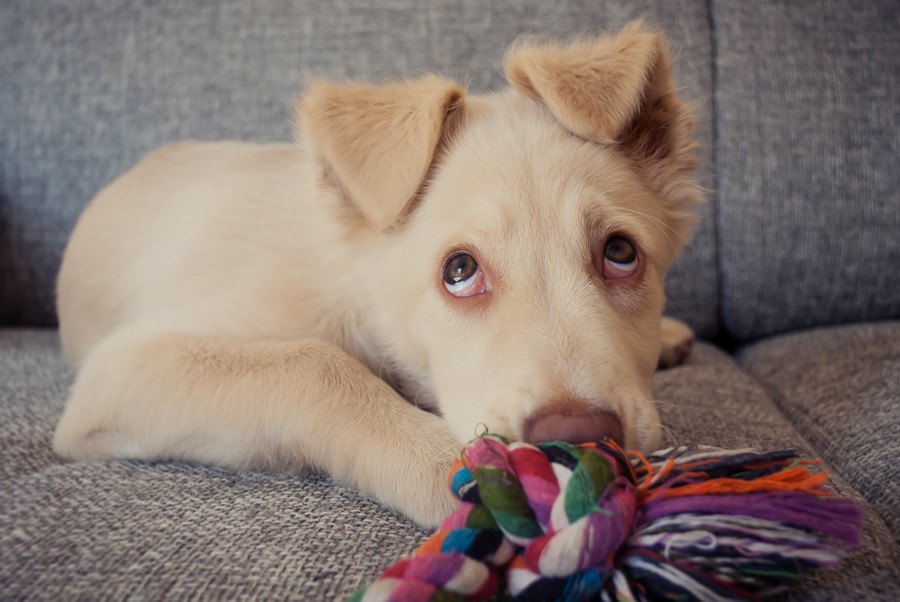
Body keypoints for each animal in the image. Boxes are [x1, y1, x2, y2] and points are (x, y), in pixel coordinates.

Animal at [52, 23, 704, 524]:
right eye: (460, 270)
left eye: (619, 252)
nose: (581, 437)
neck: (354, 282)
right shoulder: (122, 369)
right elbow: (313, 364)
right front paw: (447, 465)